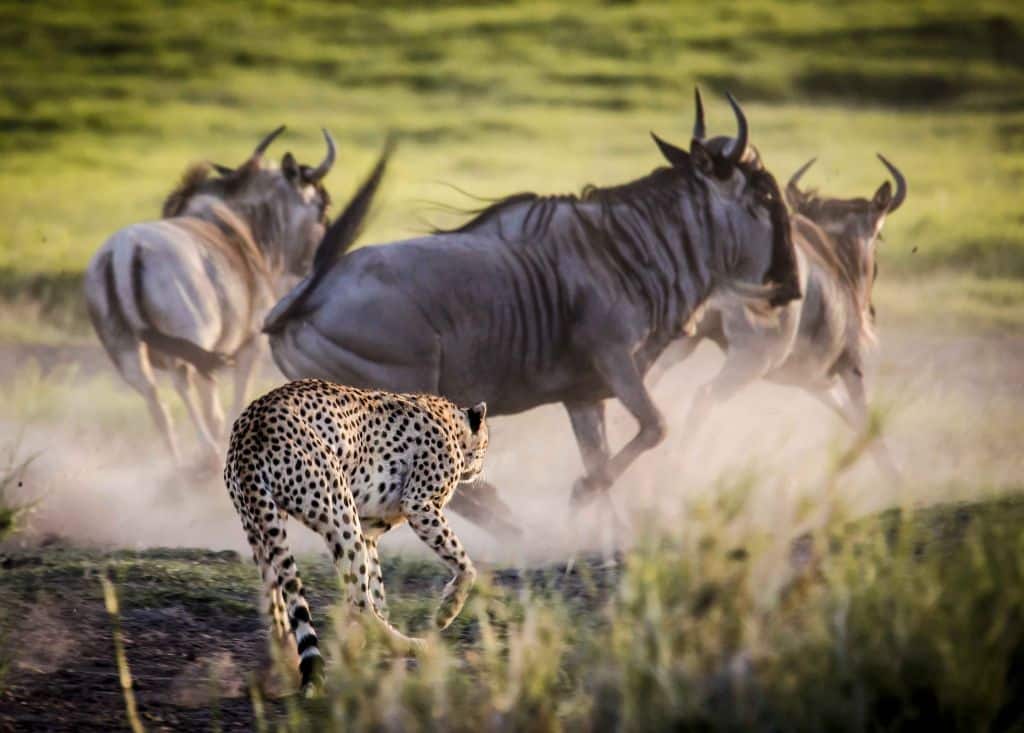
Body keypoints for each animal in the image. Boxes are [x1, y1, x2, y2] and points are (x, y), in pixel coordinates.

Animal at [224, 380, 487, 692]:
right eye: (486, 443)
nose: (480, 469)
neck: (452, 423)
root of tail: (252, 422)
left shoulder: (370, 530)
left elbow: (378, 590)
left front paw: (365, 648)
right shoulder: (418, 504)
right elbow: (465, 565)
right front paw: (445, 612)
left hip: (260, 527)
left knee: (277, 603)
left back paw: (280, 667)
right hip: (340, 511)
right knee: (358, 604)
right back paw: (409, 646)